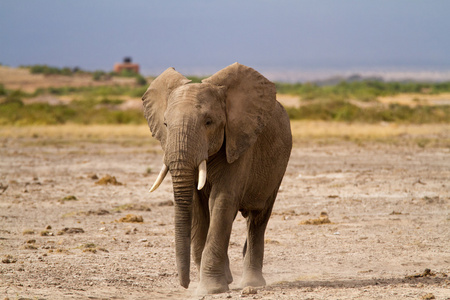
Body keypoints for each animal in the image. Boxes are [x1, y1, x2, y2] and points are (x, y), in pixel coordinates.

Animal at [142, 62, 294, 294]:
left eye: (208, 122)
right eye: (166, 124)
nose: (185, 284)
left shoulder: (239, 142)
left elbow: (222, 201)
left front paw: (210, 289)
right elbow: (197, 206)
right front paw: (212, 285)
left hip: (277, 168)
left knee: (258, 219)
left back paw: (251, 283)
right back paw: (232, 278)